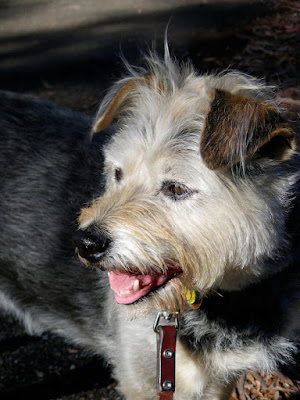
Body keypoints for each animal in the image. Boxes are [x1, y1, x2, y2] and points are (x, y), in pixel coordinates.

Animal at [0, 50, 298, 400]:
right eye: (118, 174)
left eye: (176, 188)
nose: (85, 243)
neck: (228, 301)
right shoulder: (142, 378)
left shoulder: (218, 382)